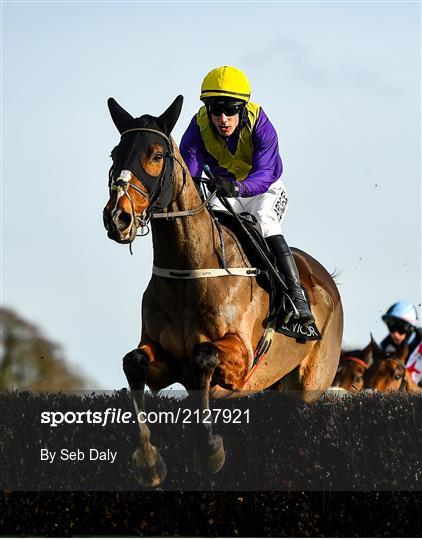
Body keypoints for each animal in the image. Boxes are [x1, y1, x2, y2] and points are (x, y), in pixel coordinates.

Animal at [101, 95, 342, 488]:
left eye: (156, 154)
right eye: (114, 154)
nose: (117, 217)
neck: (189, 270)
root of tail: (325, 278)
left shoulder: (240, 360)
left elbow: (204, 356)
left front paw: (209, 449)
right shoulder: (163, 361)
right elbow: (134, 362)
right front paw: (149, 461)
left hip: (308, 389)